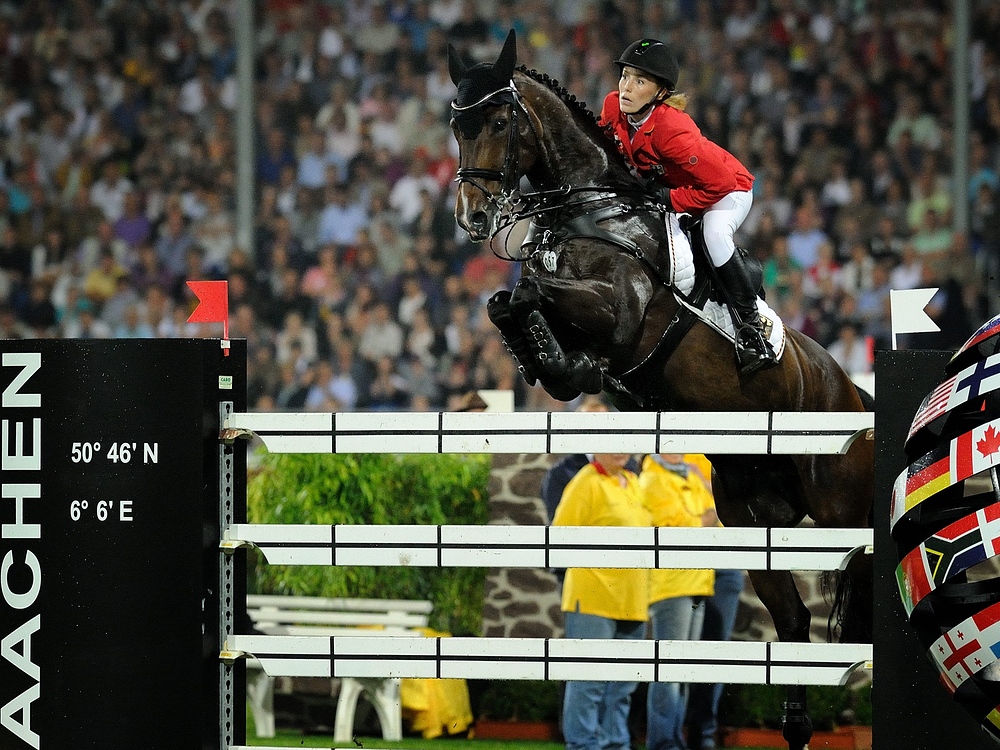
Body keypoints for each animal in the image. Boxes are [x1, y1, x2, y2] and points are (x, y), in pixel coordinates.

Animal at [450, 30, 872, 750]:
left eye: (501, 122)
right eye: (457, 125)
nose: (474, 217)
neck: (590, 210)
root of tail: (854, 394)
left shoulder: (619, 314)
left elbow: (531, 292)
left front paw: (564, 360)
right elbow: (507, 299)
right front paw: (549, 358)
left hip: (843, 510)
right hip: (753, 519)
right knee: (792, 622)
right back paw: (795, 726)